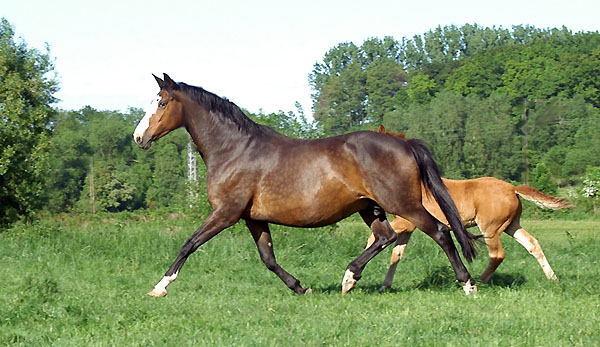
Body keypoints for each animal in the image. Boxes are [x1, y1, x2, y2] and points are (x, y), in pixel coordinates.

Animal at [132, 73, 478, 296]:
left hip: (403, 204)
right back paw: (349, 279)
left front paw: (160, 287)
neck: (234, 149)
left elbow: (189, 244)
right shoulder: (253, 218)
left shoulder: (225, 213)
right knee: (386, 237)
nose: (138, 137)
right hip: (369, 207)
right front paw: (300, 287)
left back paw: (468, 284)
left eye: (162, 103)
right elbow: (268, 259)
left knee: (439, 232)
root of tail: (404, 143)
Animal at [366, 128, 572, 290]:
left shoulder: (406, 222)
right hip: (511, 225)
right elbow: (397, 253)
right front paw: (384, 286)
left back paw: (479, 281)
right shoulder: (409, 227)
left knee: (497, 254)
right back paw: (553, 278)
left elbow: (375, 239)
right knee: (532, 244)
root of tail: (512, 188)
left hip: (490, 228)